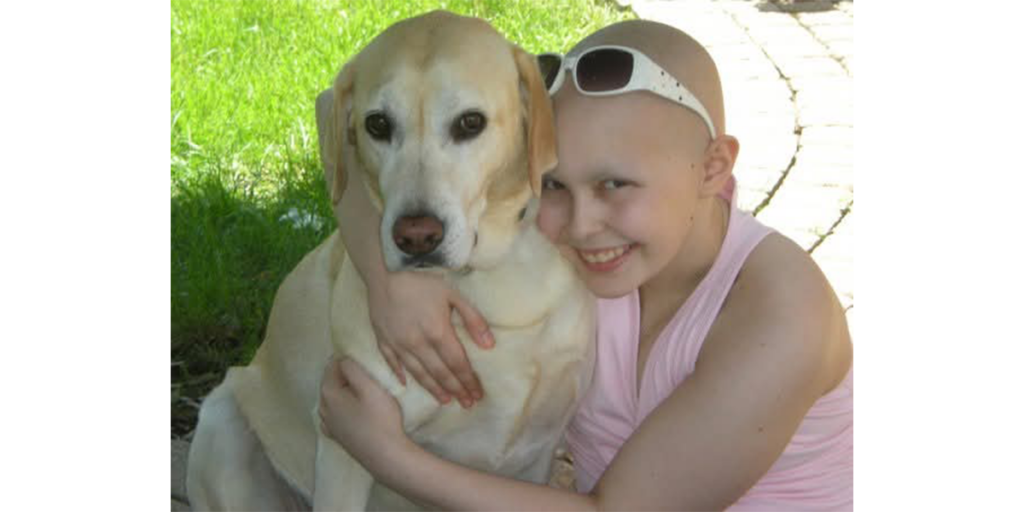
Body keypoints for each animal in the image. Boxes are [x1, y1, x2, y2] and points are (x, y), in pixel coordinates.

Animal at [188, 12, 598, 512]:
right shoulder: (348, 441)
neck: (487, 281)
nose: (416, 236)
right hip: (223, 416)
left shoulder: (537, 450)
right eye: (378, 125)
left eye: (471, 122)